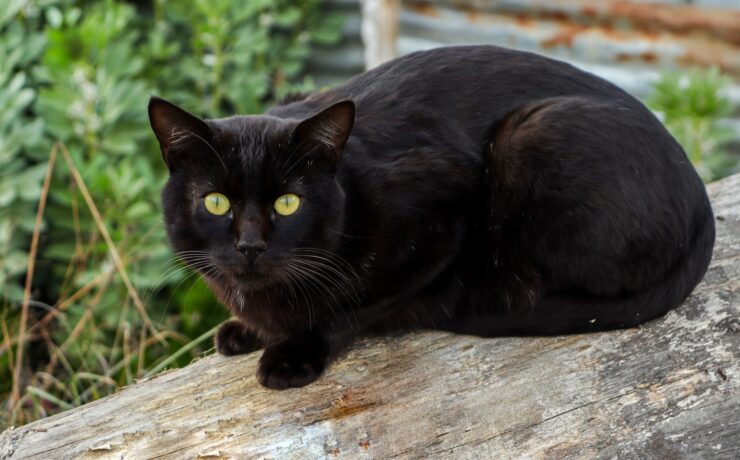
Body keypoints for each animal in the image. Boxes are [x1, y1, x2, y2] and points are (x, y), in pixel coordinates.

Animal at [147, 45, 712, 388]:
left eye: (288, 202)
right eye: (215, 202)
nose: (249, 245)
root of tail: (700, 197)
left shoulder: (440, 222)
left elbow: (346, 309)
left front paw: (292, 351)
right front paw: (244, 330)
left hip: (527, 137)